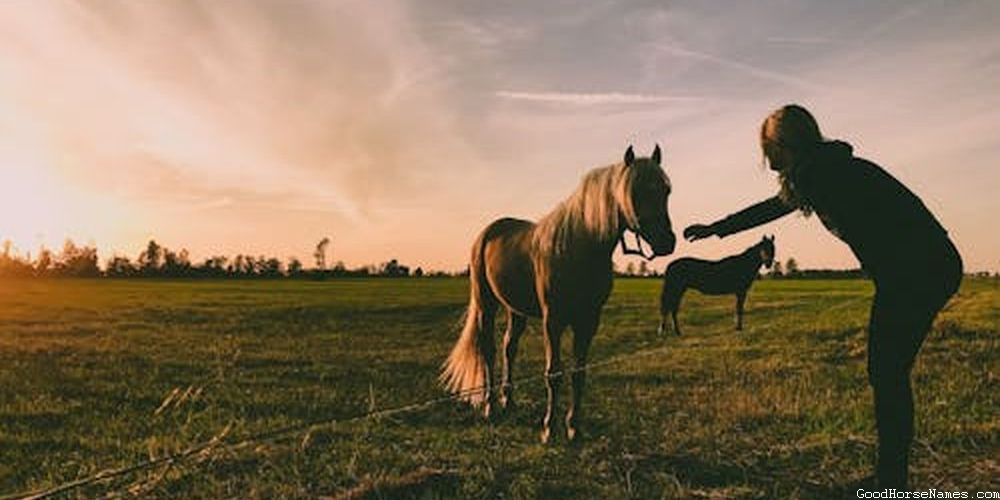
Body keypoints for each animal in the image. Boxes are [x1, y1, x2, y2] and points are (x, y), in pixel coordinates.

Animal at [441, 145, 676, 443]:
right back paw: (490, 407)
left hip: (515, 310)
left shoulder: (588, 321)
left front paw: (574, 427)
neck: (579, 247)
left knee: (509, 348)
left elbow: (578, 373)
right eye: (635, 190)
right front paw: (549, 429)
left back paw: (509, 401)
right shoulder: (553, 320)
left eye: (666, 190)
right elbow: (554, 373)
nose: (667, 241)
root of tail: (487, 233)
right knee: (489, 350)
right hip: (486, 304)